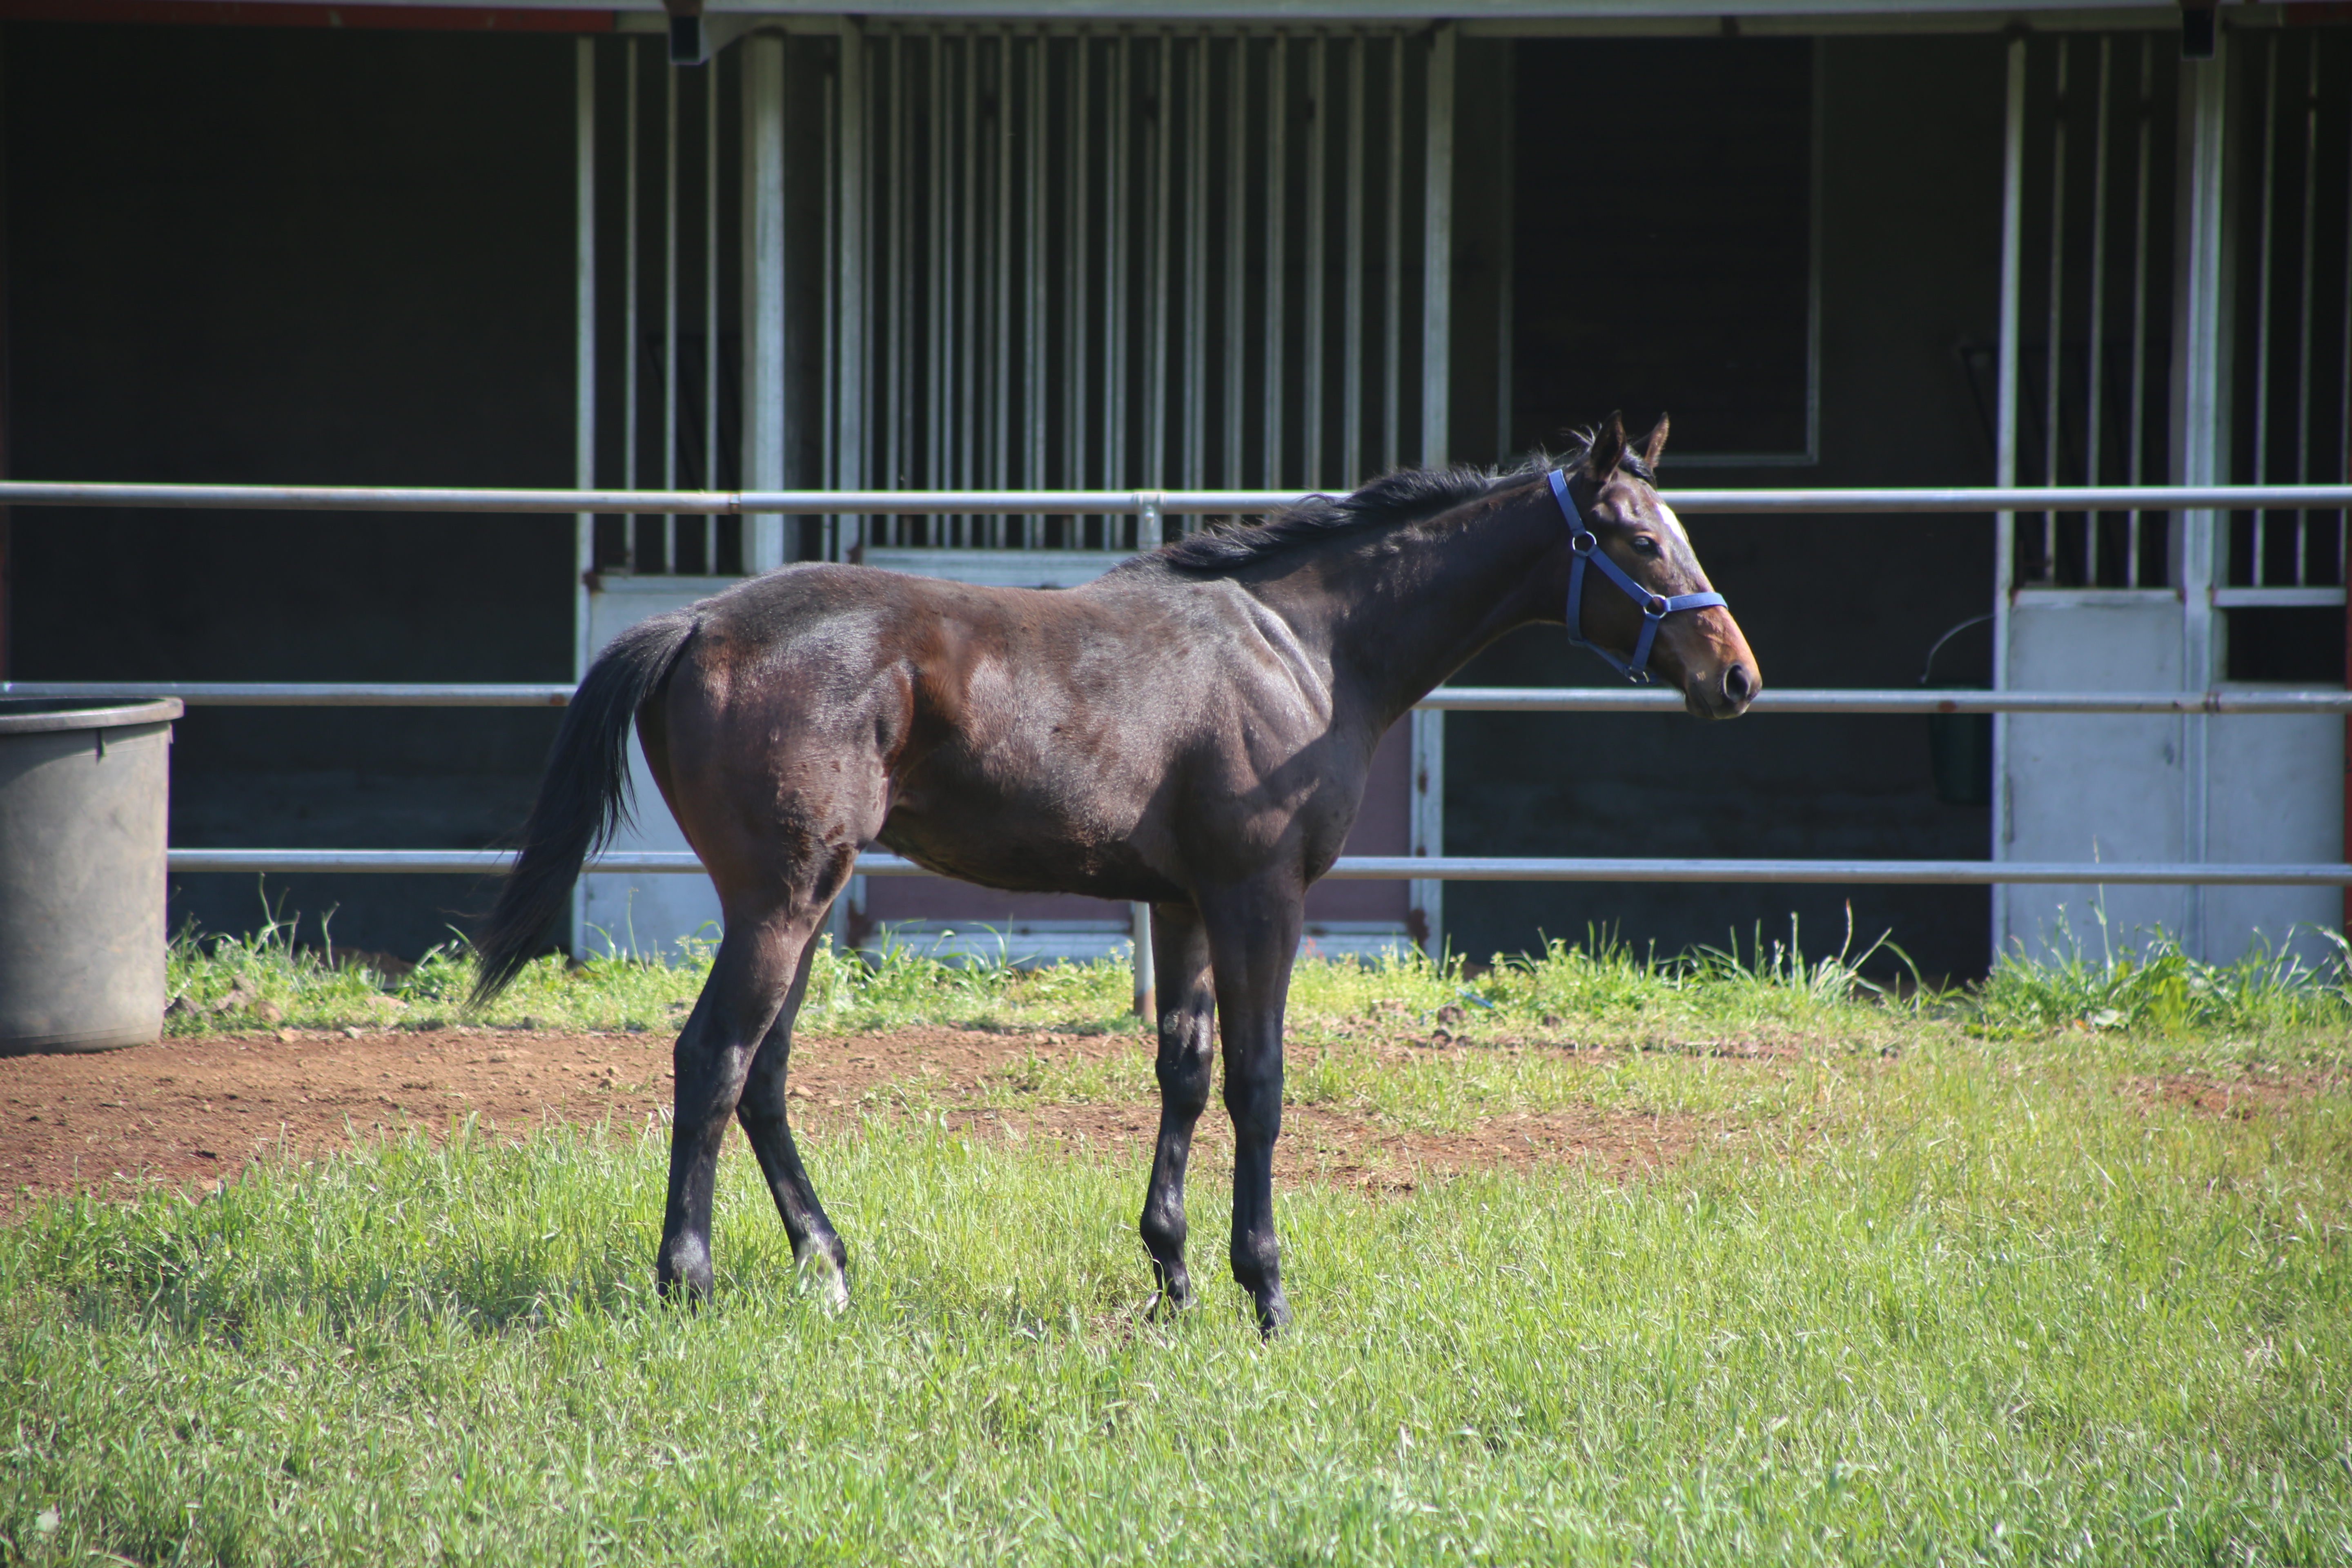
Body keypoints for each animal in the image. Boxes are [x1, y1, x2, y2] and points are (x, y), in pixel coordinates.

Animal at [468, 411, 1759, 1335]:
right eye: (1640, 540)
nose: (1736, 677)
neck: (1304, 646)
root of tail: (691, 627)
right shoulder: (1258, 900)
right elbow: (1258, 1085)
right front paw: (1265, 1293)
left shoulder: (1180, 903)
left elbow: (1181, 1075)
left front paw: (1173, 1279)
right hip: (783, 901)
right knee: (714, 1059)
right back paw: (687, 1280)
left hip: (799, 901)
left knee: (763, 1077)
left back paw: (826, 1270)